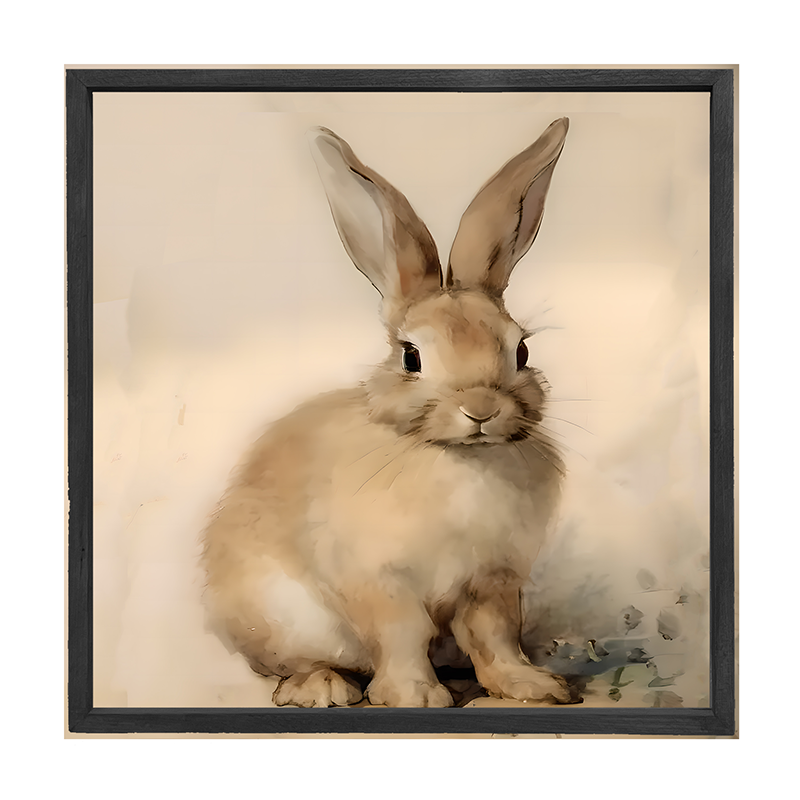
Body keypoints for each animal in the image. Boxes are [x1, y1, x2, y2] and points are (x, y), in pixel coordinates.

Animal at [202, 118, 571, 708]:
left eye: (521, 350)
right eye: (411, 356)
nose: (481, 408)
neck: (457, 458)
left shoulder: (492, 580)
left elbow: (495, 635)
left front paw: (531, 686)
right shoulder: (379, 580)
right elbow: (401, 634)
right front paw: (414, 695)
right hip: (279, 616)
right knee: (292, 664)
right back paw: (323, 687)